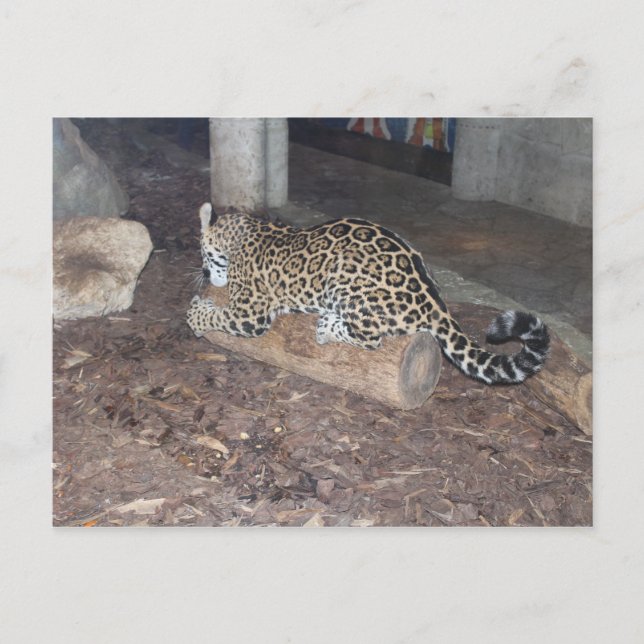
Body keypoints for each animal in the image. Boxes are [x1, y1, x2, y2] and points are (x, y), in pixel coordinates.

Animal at [187, 202, 549, 384]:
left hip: (346, 283)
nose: (203, 272)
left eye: (201, 252)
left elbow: (216, 315)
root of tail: (435, 303)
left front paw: (194, 315)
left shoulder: (251, 313)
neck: (246, 233)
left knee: (371, 338)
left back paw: (327, 326)